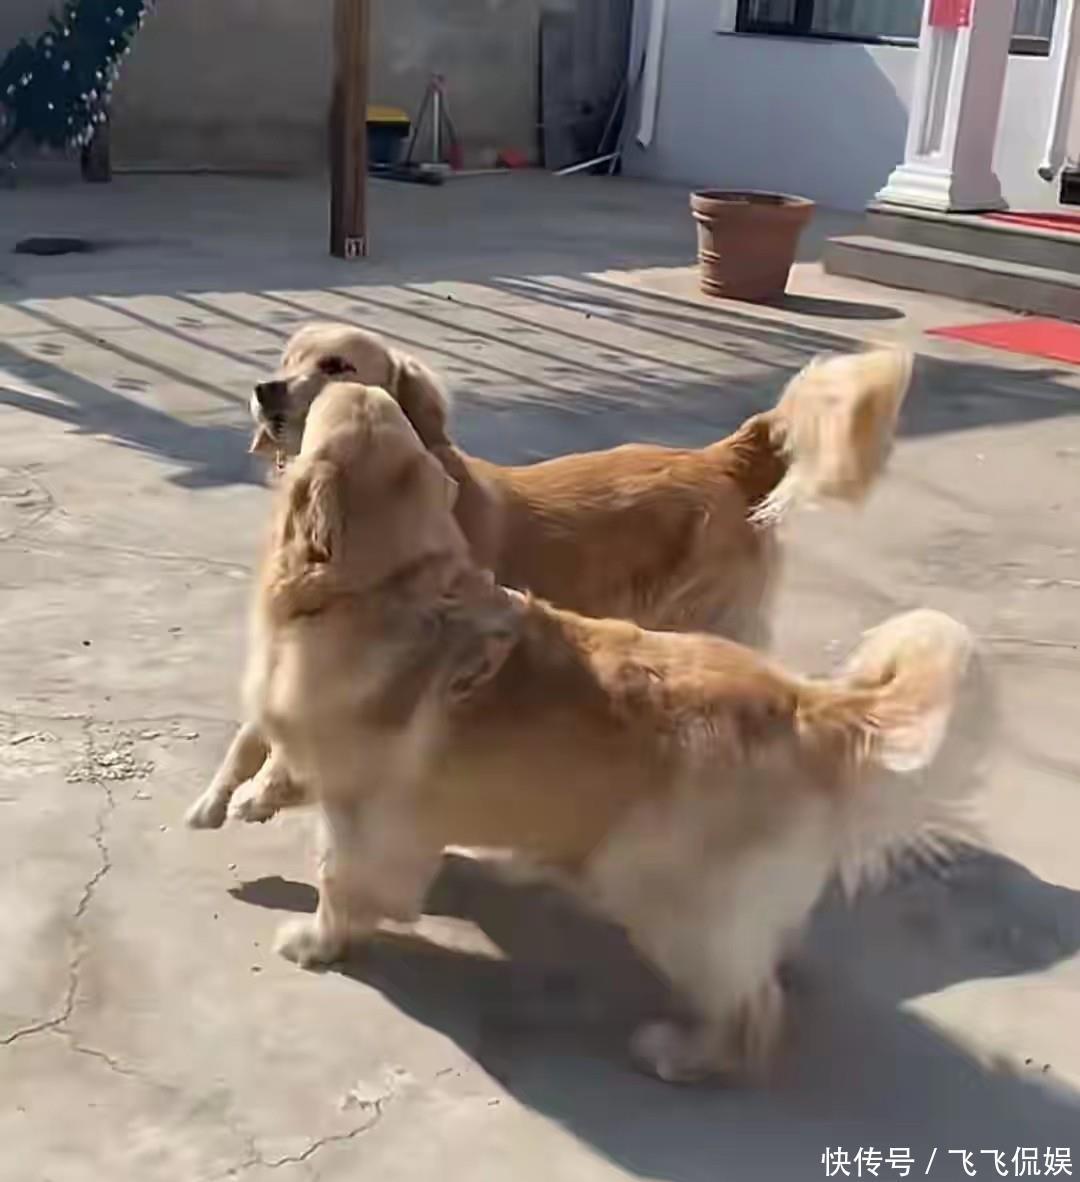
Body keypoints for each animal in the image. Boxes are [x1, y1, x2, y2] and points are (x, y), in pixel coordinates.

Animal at [186, 324, 912, 829]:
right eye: (288, 359)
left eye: (336, 366)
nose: (265, 391)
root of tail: (724, 456)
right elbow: (255, 725)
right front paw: (217, 796)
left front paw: (263, 792)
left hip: (703, 616)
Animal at [208, 381, 989, 1084]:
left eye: (334, 387)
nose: (275, 396)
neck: (382, 584)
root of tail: (805, 702)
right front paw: (242, 798)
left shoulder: (365, 813)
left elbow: (339, 880)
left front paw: (316, 940)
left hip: (665, 891)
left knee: (752, 1012)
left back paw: (683, 1054)